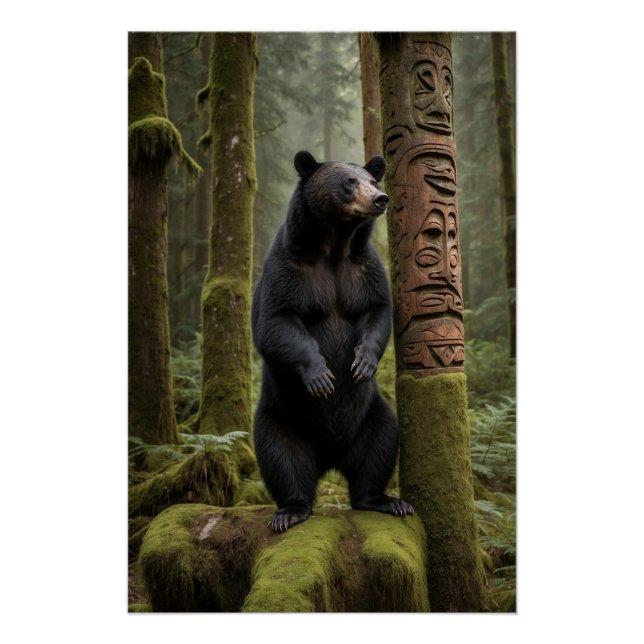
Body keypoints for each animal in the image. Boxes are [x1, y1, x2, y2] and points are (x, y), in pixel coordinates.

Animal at [251, 150, 414, 532]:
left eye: (372, 179)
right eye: (349, 182)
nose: (380, 199)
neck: (334, 243)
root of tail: (330, 456)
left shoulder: (363, 269)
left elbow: (377, 311)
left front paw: (362, 363)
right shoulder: (288, 269)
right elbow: (277, 322)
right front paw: (322, 377)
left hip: (373, 413)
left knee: (381, 446)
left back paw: (386, 500)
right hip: (282, 417)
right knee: (282, 458)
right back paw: (291, 511)